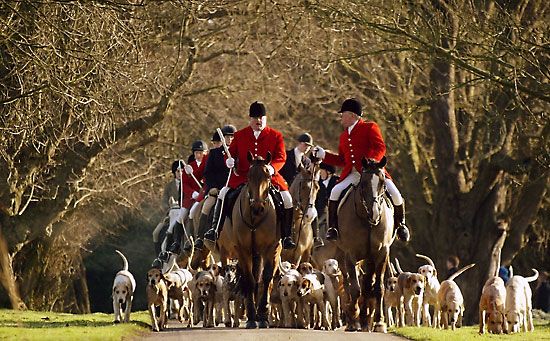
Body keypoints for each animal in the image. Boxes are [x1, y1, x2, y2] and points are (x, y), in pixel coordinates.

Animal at [223, 151, 282, 326]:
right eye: (249, 177)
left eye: (268, 177)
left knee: (263, 280)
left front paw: (262, 315)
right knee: (254, 279)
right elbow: (249, 280)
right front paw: (251, 316)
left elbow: (266, 278)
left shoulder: (271, 248)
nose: (257, 207)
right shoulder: (243, 249)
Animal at [336, 157, 396, 332]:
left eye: (382, 182)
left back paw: (364, 320)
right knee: (349, 284)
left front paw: (379, 322)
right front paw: (353, 315)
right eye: (363, 183)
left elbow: (378, 287)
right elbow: (355, 289)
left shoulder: (382, 253)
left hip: (370, 258)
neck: (367, 220)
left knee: (367, 285)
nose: (374, 213)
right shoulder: (350, 254)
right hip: (343, 256)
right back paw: (354, 318)